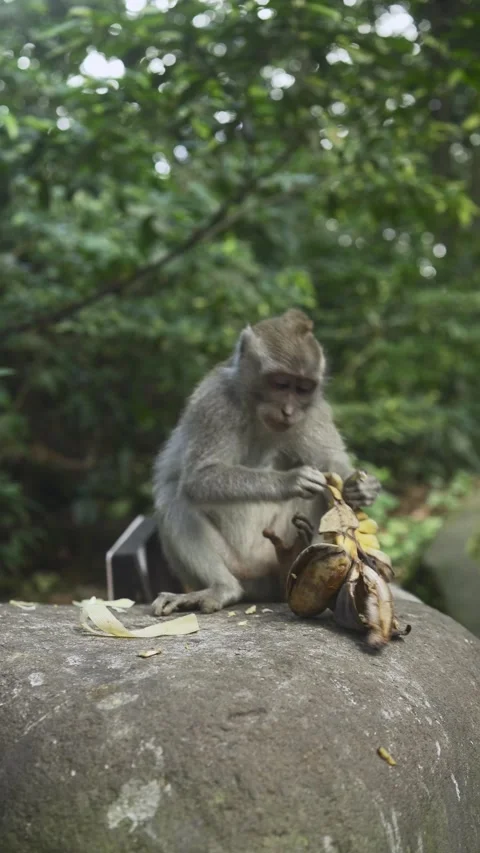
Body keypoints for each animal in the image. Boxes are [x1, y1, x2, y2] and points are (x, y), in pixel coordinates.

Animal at [152, 308, 381, 616]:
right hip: (239, 564)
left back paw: (292, 563)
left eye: (303, 388)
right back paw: (222, 588)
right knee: (174, 498)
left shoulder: (314, 409)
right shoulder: (216, 403)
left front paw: (359, 488)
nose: (289, 411)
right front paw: (292, 480)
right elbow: (199, 478)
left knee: (319, 498)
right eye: (281, 384)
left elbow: (331, 459)